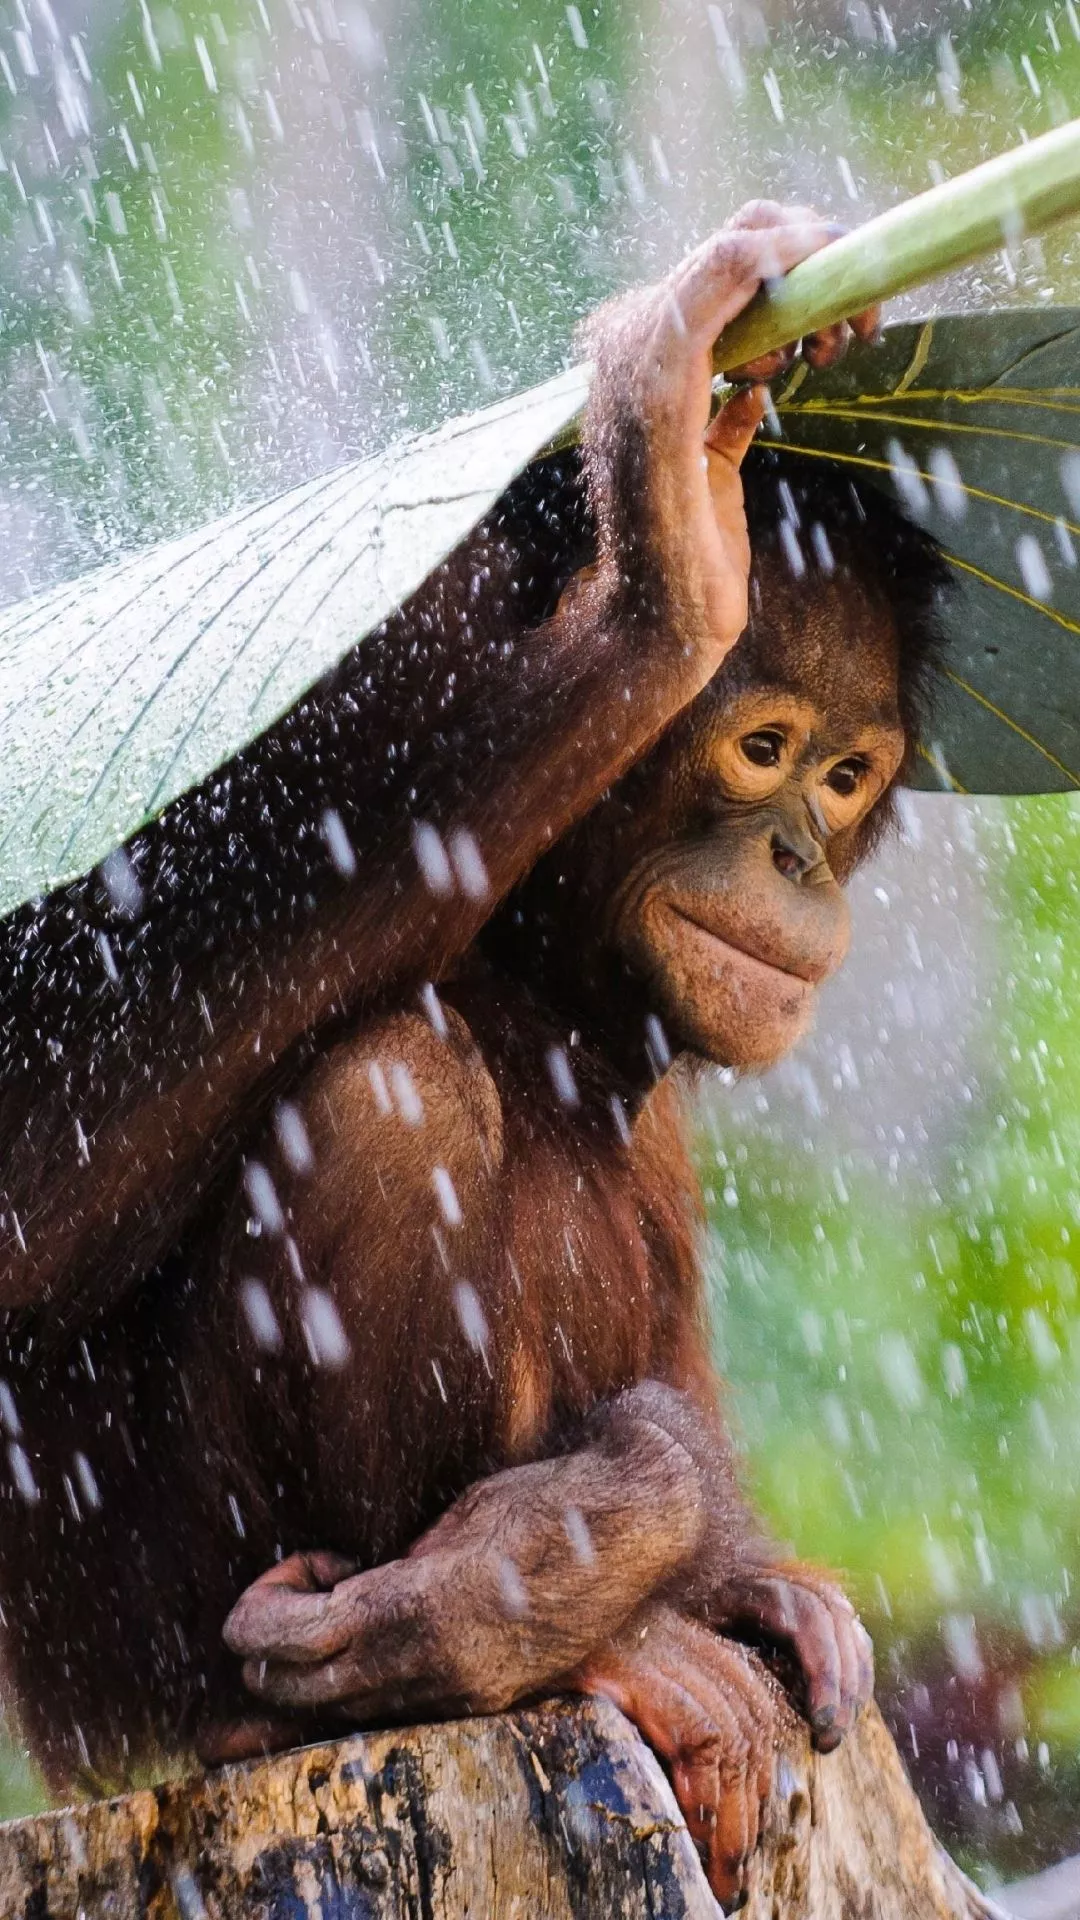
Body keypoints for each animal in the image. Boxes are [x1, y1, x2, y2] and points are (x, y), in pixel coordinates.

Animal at [0, 204, 949, 1905]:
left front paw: (727, 1568)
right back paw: (484, 1653)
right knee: (391, 1088)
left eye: (850, 775)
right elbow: (33, 1153)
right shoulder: (341, 671)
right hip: (142, 1657)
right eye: (763, 747)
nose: (798, 853)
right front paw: (667, 558)